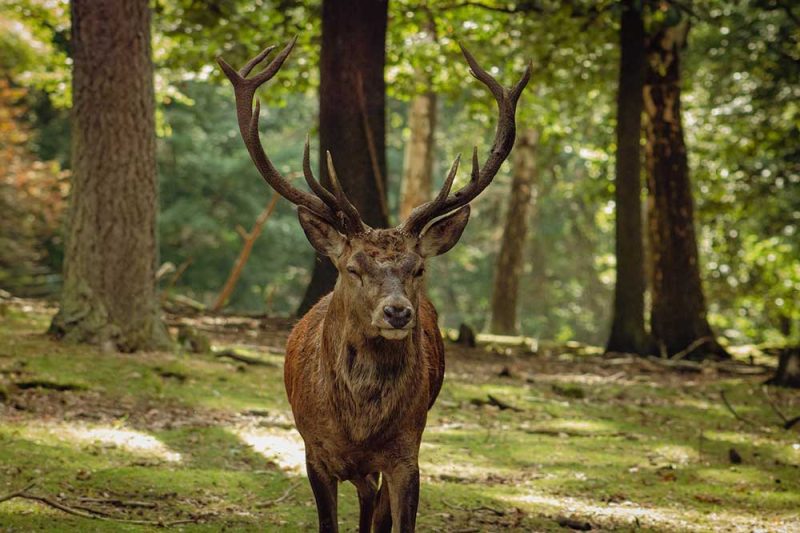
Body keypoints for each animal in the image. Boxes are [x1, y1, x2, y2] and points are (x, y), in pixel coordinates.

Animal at [218, 37, 529, 533]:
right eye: (352, 267)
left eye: (418, 269)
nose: (397, 312)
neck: (358, 426)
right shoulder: (314, 452)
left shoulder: (406, 453)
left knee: (373, 504)